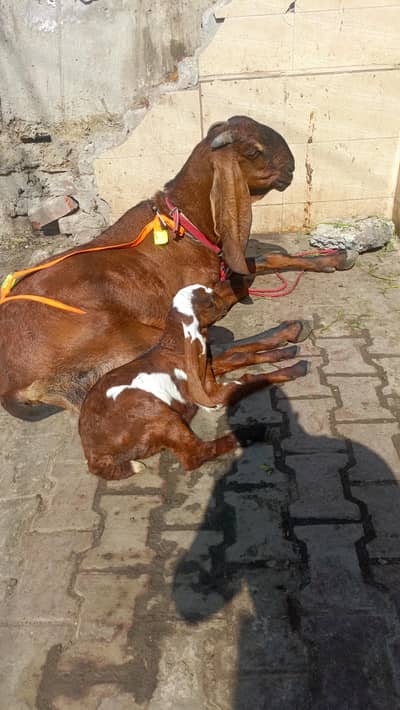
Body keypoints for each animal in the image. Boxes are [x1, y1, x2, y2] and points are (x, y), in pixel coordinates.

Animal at [0, 115, 356, 422]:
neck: (186, 220)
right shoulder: (202, 293)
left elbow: (266, 261)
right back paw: (286, 334)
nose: (292, 169)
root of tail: (11, 387)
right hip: (118, 333)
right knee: (212, 355)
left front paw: (332, 260)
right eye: (254, 150)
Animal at [79, 284, 309, 478]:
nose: (226, 300)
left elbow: (238, 354)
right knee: (194, 456)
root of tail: (94, 454)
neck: (174, 345)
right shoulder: (211, 391)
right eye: (210, 300)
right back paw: (252, 432)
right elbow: (248, 377)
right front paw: (294, 367)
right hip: (157, 413)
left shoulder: (207, 366)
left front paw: (286, 343)